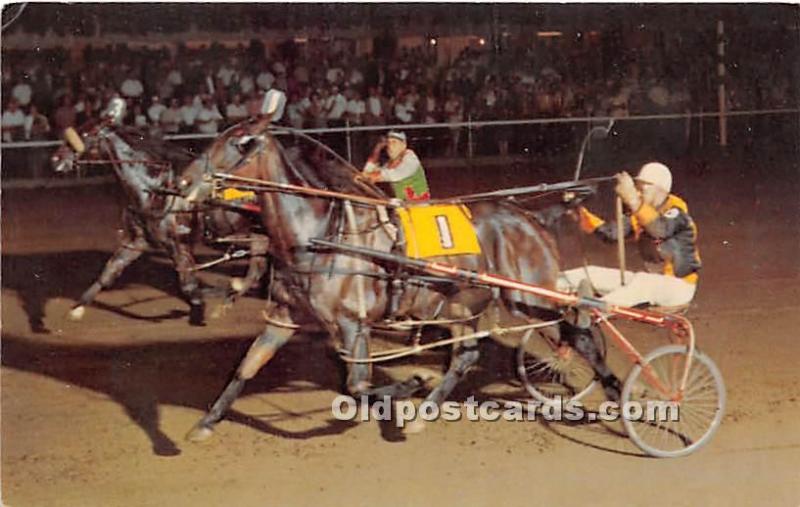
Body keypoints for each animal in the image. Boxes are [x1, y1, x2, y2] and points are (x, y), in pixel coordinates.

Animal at [51, 114, 268, 326]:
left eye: (86, 134)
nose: (56, 159)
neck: (156, 189)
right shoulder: (137, 241)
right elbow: (110, 271)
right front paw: (77, 309)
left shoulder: (178, 243)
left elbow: (189, 285)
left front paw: (202, 305)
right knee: (257, 269)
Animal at [188, 128, 620, 440]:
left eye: (238, 146)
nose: (185, 182)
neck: (322, 234)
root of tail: (532, 217)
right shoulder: (284, 315)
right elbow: (247, 367)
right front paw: (205, 423)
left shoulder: (354, 323)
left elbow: (358, 387)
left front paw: (413, 381)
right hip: (462, 302)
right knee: (467, 355)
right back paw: (424, 413)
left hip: (529, 294)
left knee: (577, 333)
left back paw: (615, 390)